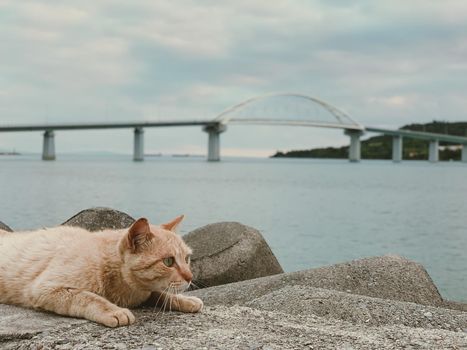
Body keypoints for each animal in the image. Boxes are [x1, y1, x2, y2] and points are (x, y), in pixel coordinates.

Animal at [0, 215, 203, 326]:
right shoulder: (46, 288)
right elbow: (88, 297)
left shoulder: (146, 292)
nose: (190, 277)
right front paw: (114, 311)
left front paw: (185, 300)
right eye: (168, 261)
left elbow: (161, 293)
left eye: (186, 258)